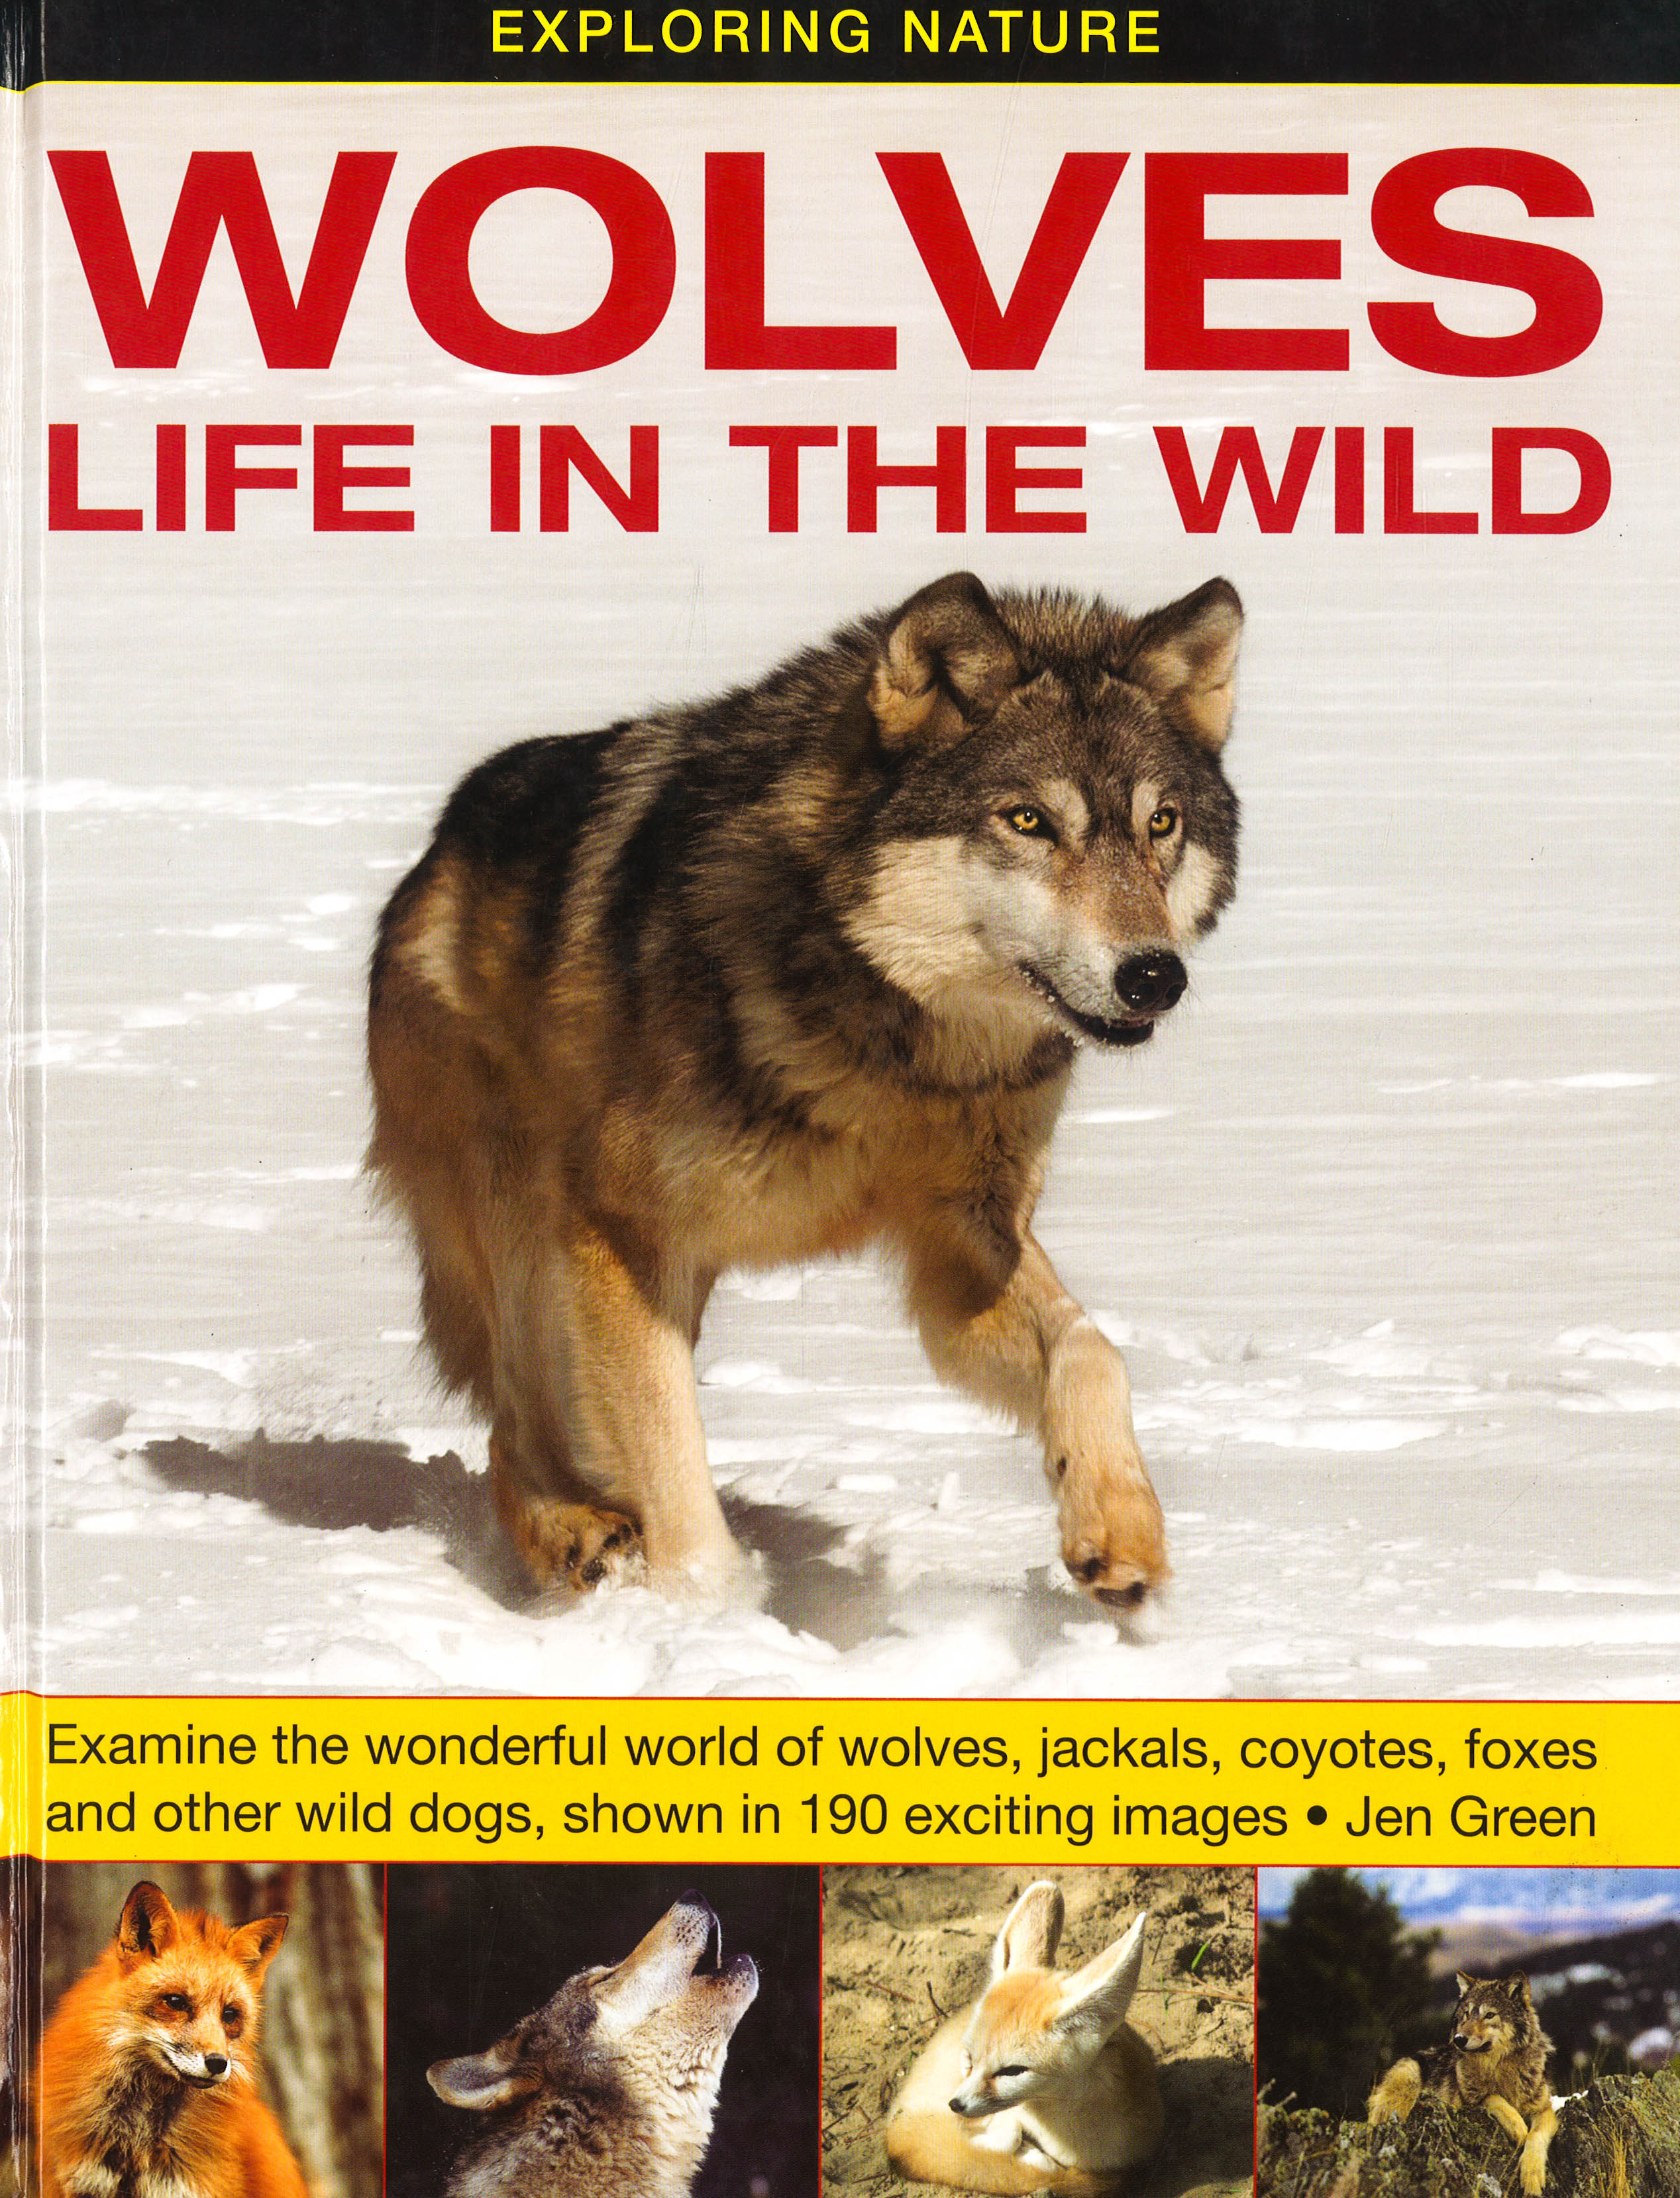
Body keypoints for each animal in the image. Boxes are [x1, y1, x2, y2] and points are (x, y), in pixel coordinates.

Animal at [368, 570, 1242, 1610]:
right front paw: (714, 1620)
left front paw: (1118, 1532)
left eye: (1161, 824)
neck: (891, 1049)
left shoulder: (965, 1246)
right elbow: (677, 1484)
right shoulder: (623, 1233)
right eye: (1028, 820)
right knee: (513, 1425)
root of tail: (437, 845)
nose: (1154, 976)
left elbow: (1092, 1352)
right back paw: (575, 1537)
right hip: (528, 1236)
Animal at [1367, 1972, 1557, 2194]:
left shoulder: (1545, 2109)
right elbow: (1494, 2098)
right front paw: (1518, 2128)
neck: (1499, 2067)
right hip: (1409, 2075)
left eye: (1490, 2015)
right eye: (1466, 2014)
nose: (1459, 2039)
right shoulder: (1468, 2100)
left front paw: (1532, 2177)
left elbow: (1536, 2136)